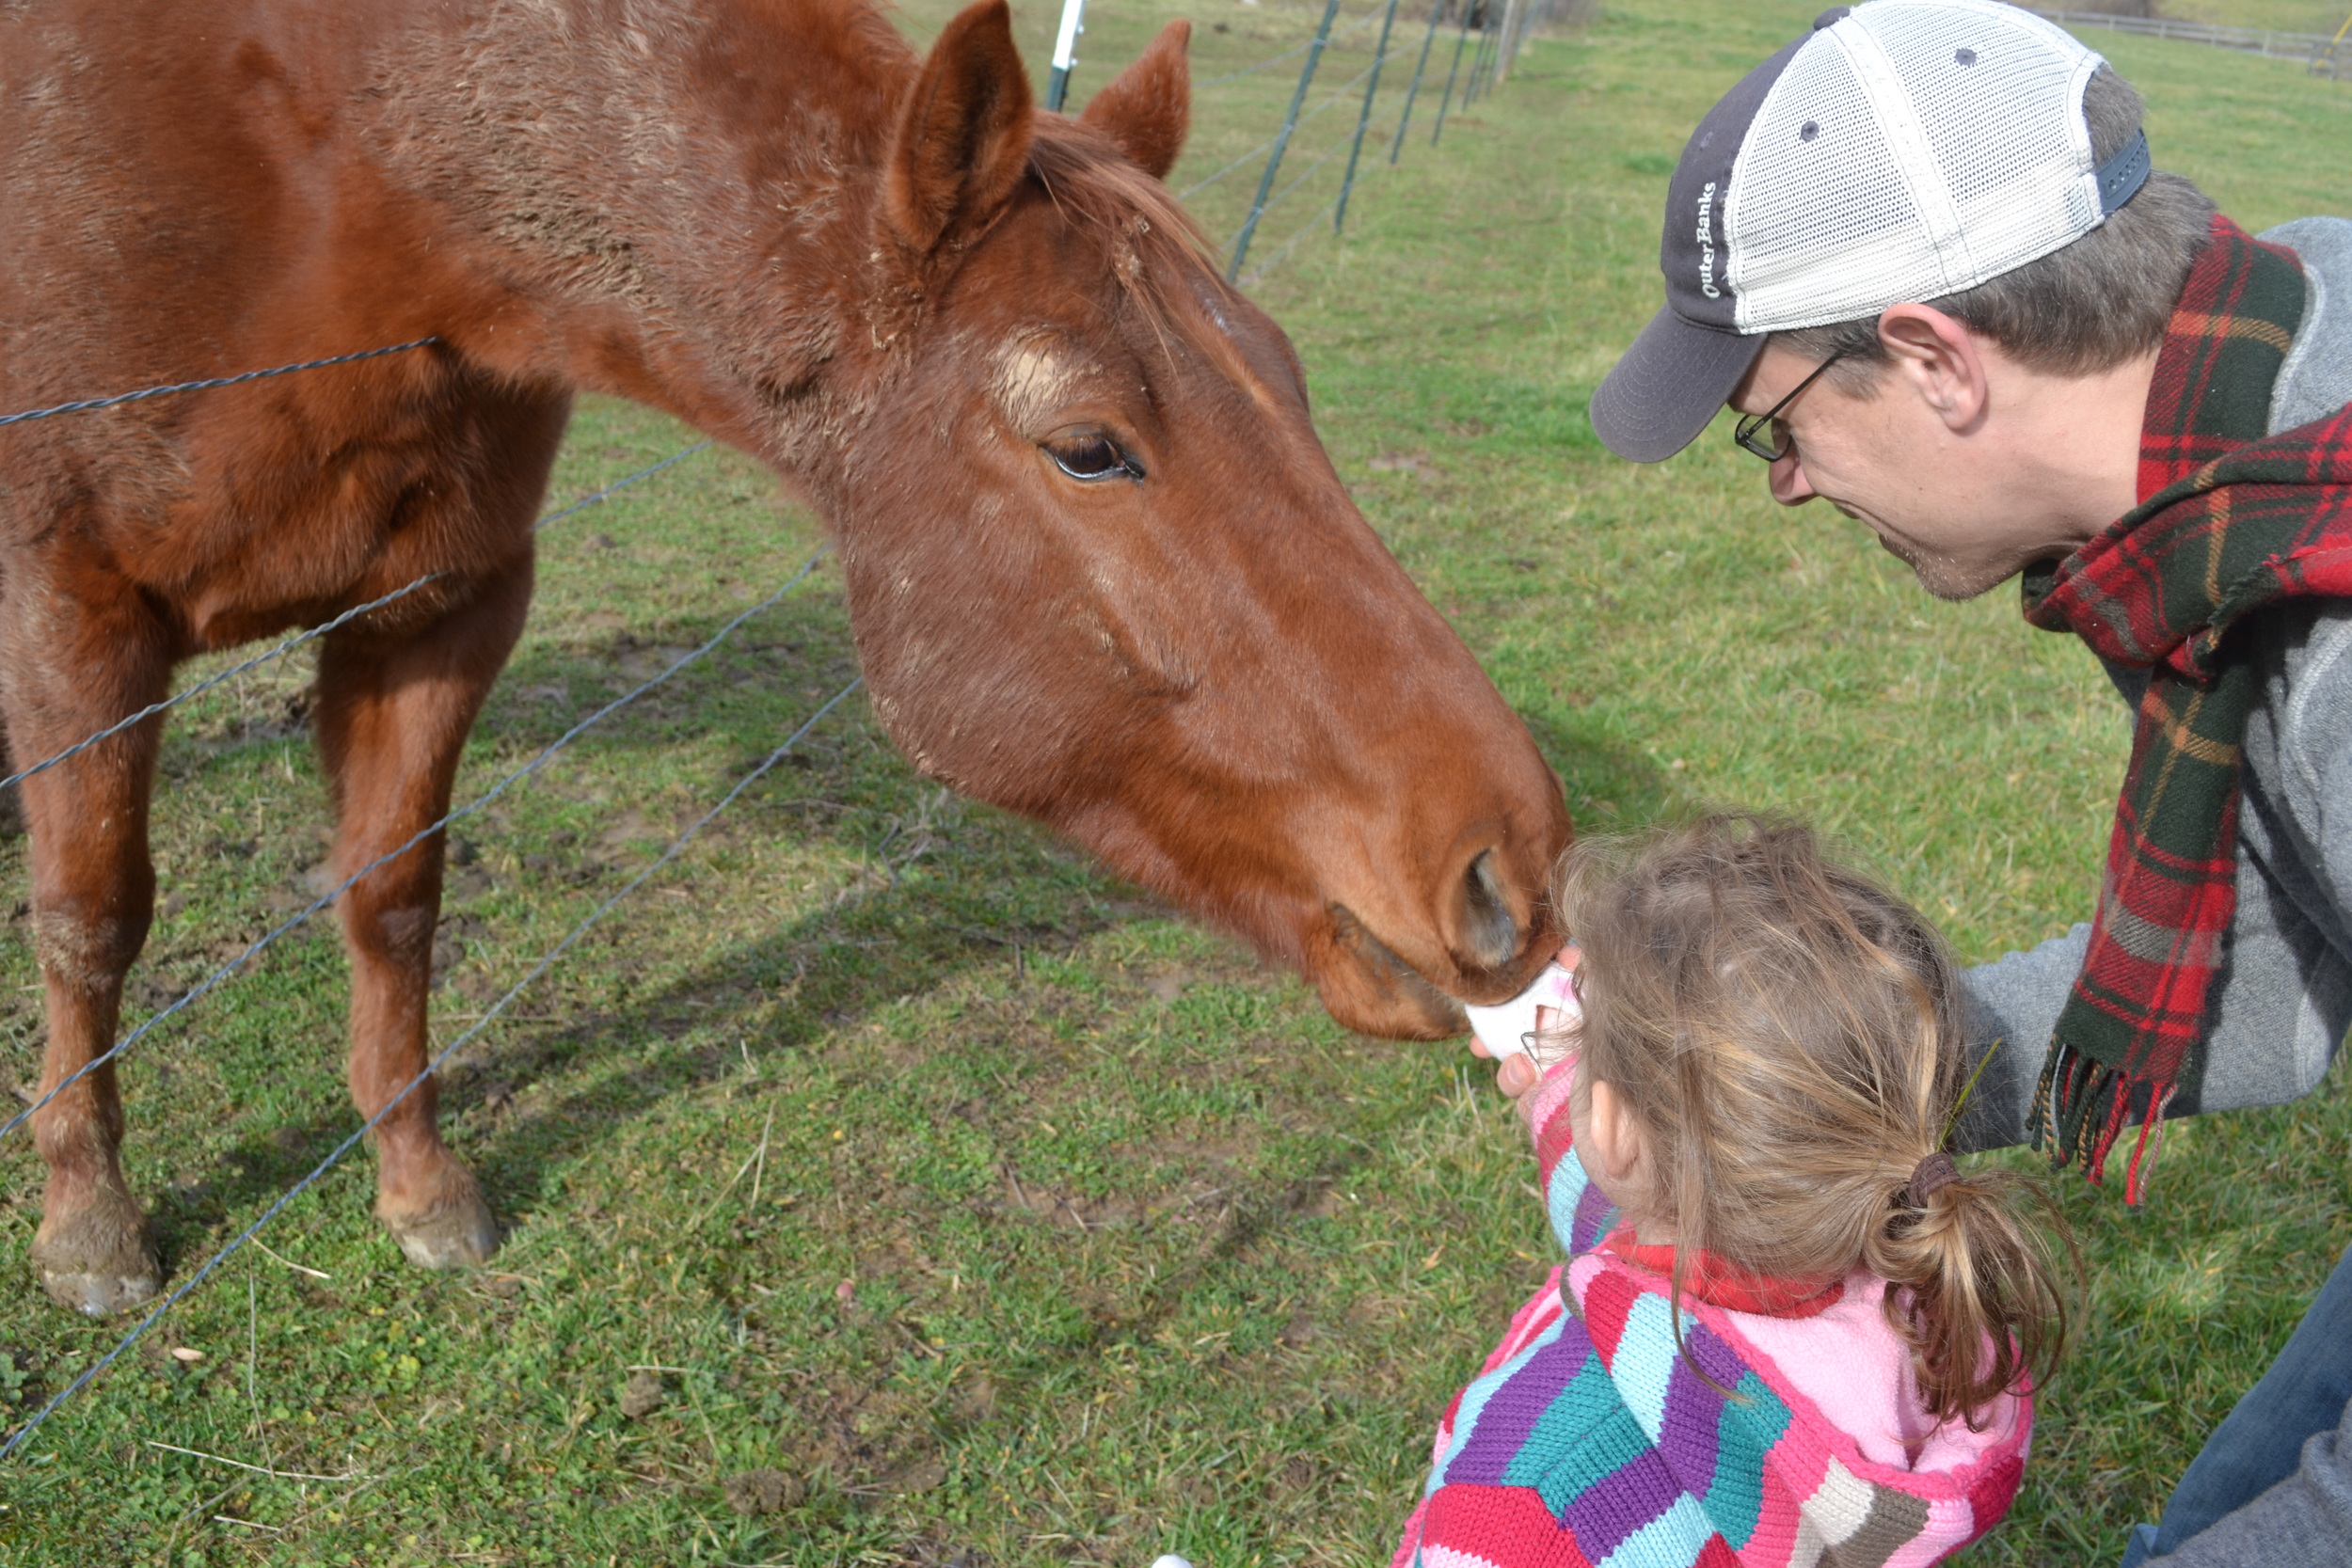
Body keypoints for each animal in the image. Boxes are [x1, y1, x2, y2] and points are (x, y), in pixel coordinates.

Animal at [4, 0, 1581, 1316]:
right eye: (1089, 447)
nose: (1510, 865)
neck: (339, 163)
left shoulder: (441, 609)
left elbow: (392, 898)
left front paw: (419, 1184)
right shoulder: (75, 612)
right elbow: (92, 915)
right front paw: (91, 1220)